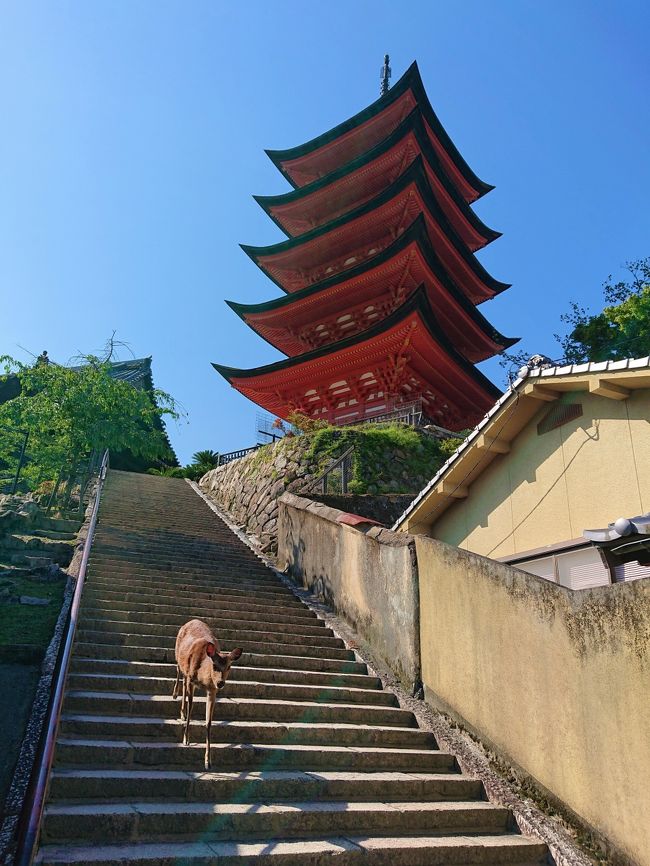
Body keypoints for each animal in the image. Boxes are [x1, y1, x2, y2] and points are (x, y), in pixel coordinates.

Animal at [171, 616, 242, 768]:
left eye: (229, 666)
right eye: (214, 665)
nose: (220, 683)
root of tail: (192, 620)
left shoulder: (212, 690)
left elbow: (208, 722)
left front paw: (208, 761)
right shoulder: (192, 680)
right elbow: (191, 709)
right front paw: (186, 739)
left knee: (183, 682)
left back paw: (182, 713)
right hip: (178, 655)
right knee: (179, 671)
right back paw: (175, 695)